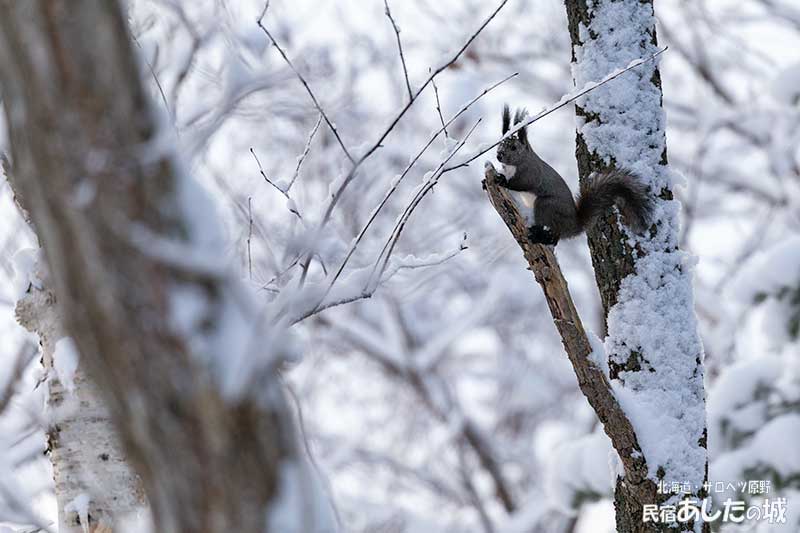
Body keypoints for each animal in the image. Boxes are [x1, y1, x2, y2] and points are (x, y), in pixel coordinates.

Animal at [490, 104, 652, 245]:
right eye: (500, 144)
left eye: (513, 147)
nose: (499, 155)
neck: (515, 164)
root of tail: (574, 225)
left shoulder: (531, 172)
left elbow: (524, 183)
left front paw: (503, 181)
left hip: (547, 206)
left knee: (554, 236)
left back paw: (540, 236)